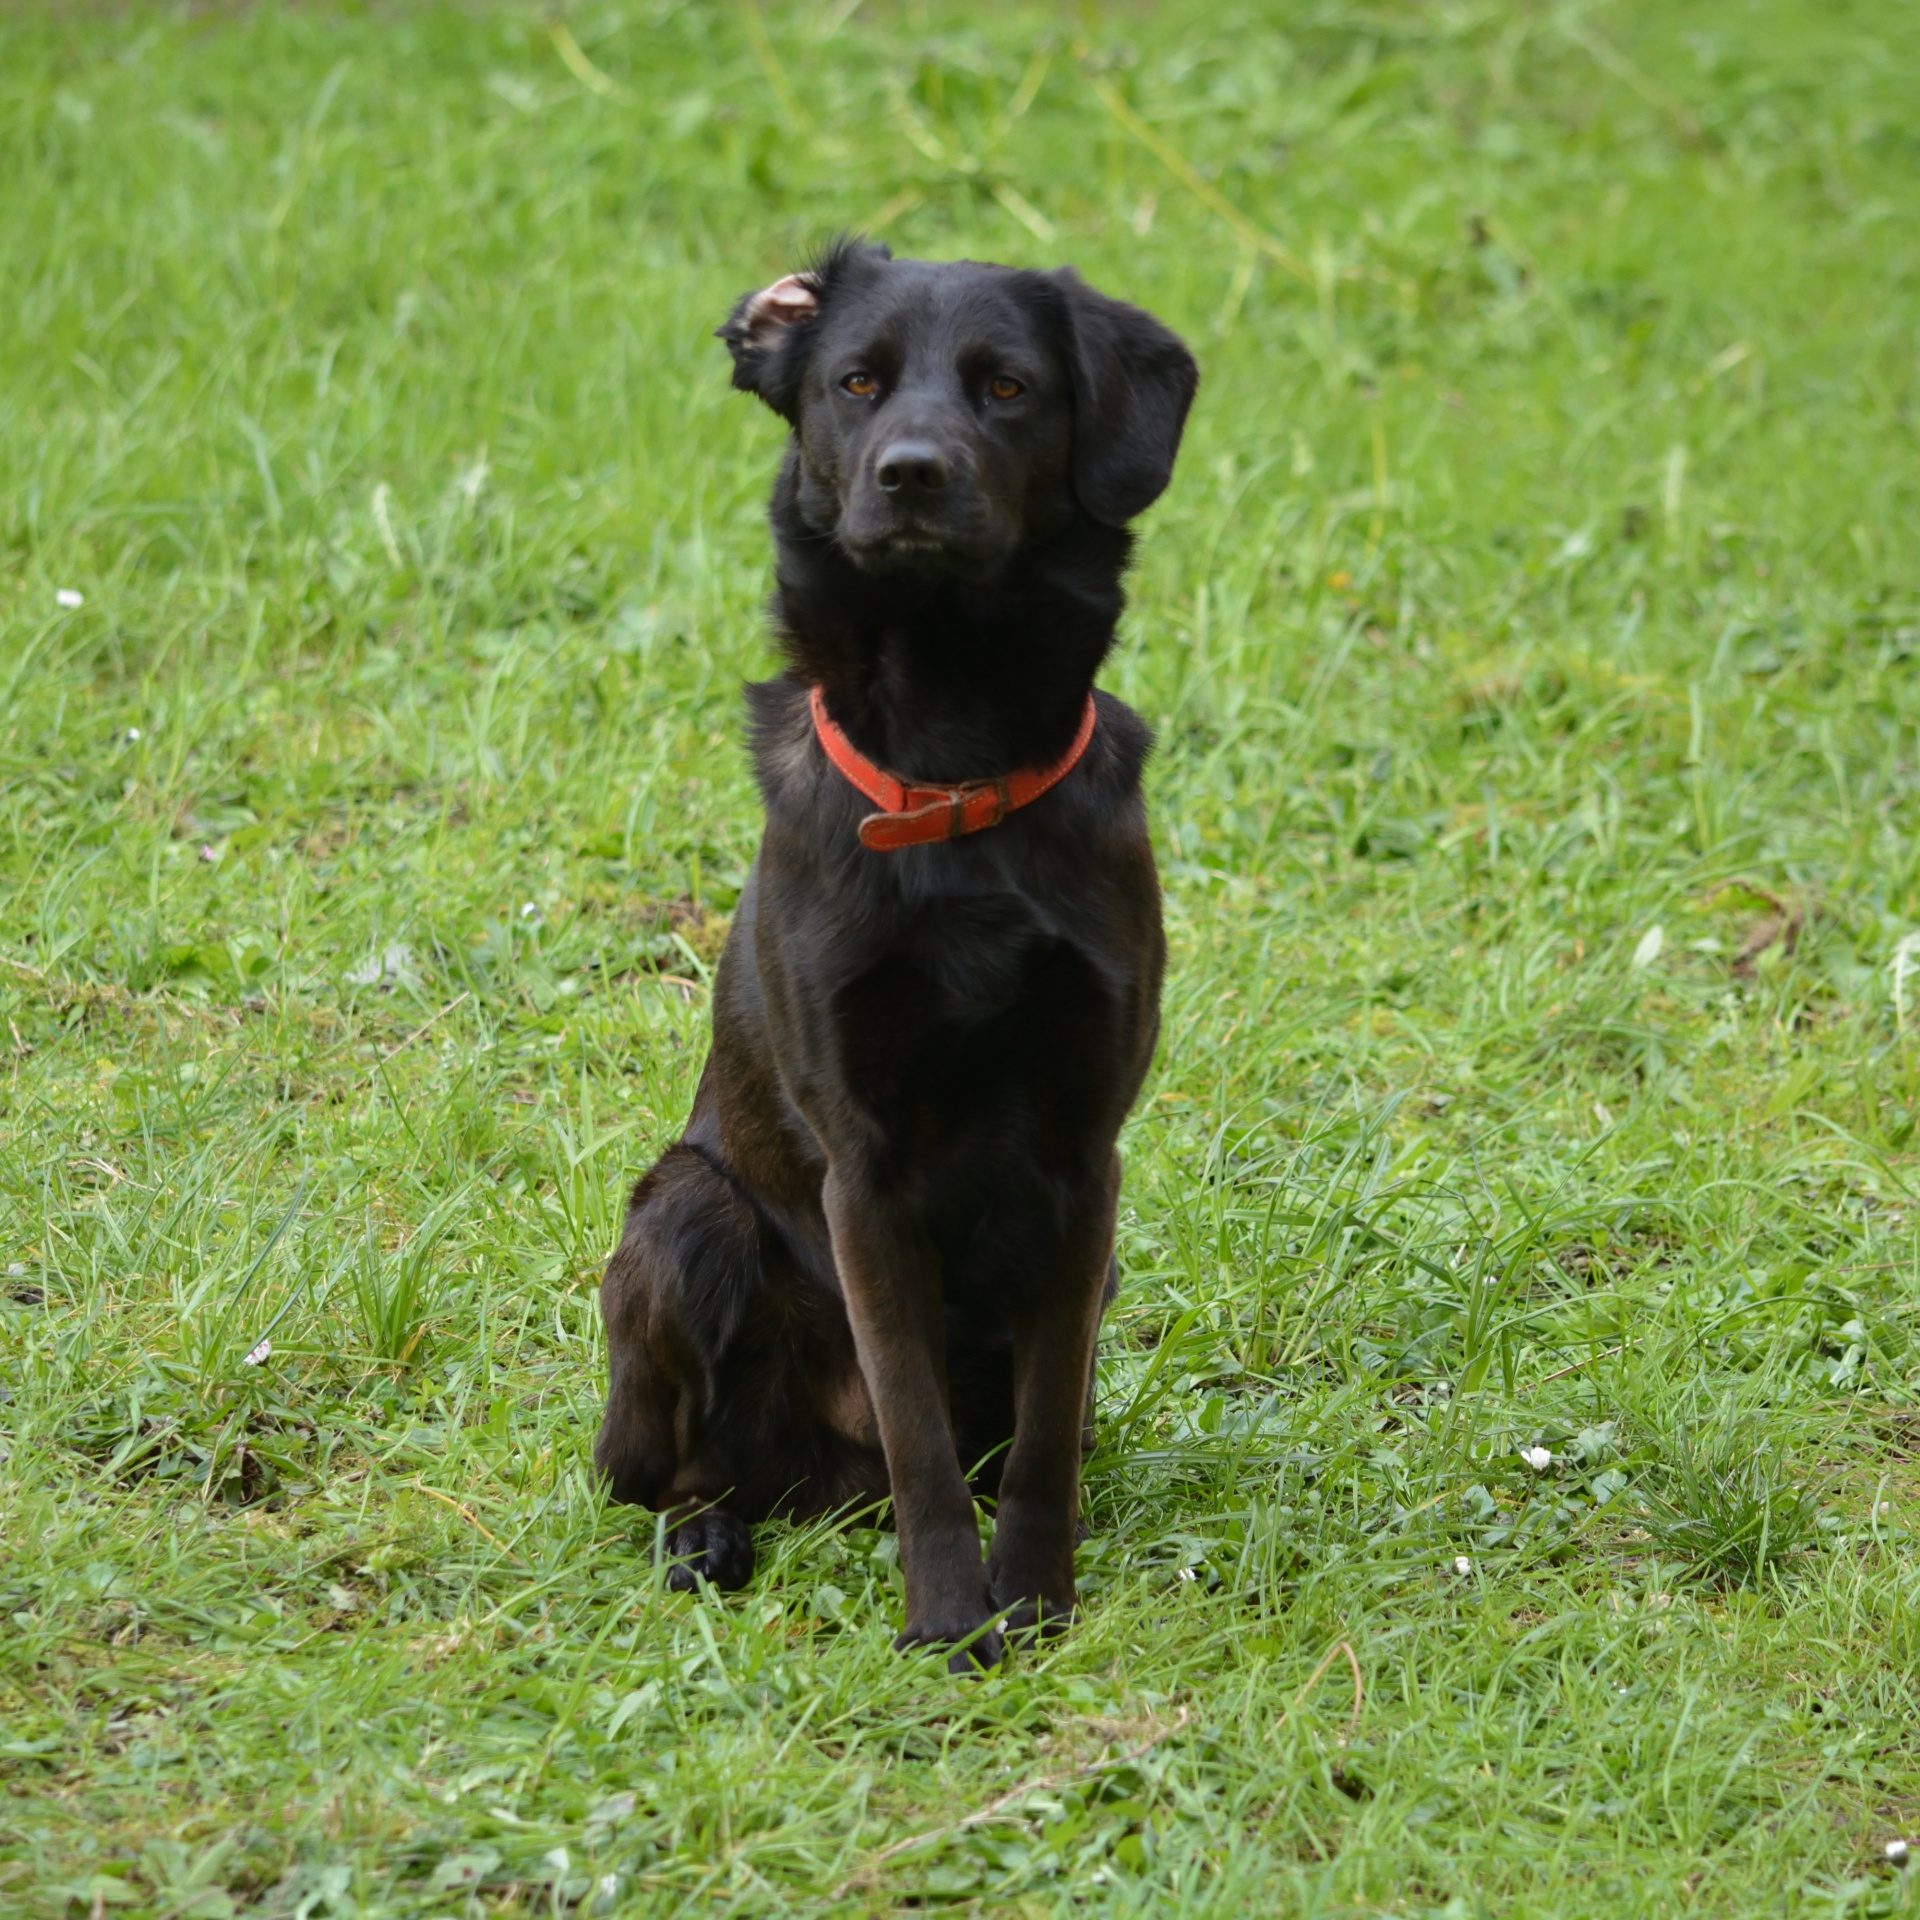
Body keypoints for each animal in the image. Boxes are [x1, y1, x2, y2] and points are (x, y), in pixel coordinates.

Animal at [595, 240, 1198, 1666]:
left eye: (1008, 386)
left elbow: (1044, 1434)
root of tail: (828, 1484)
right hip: (684, 1217)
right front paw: (946, 1621)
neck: (955, 767)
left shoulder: (1085, 1161)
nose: (911, 471)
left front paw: (1033, 1598)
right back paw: (705, 1535)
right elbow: (920, 1432)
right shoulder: (860, 1171)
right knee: (686, 1473)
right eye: (857, 382)